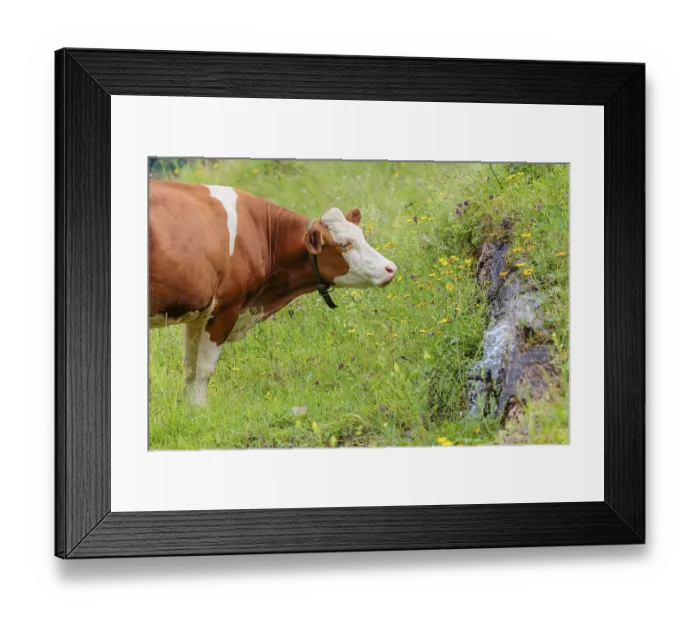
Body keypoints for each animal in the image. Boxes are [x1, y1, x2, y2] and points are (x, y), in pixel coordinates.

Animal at [149, 180, 398, 404]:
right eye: (345, 244)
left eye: (362, 236)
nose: (390, 268)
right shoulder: (226, 309)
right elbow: (204, 370)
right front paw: (201, 410)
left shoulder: (199, 315)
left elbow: (190, 368)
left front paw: (189, 411)